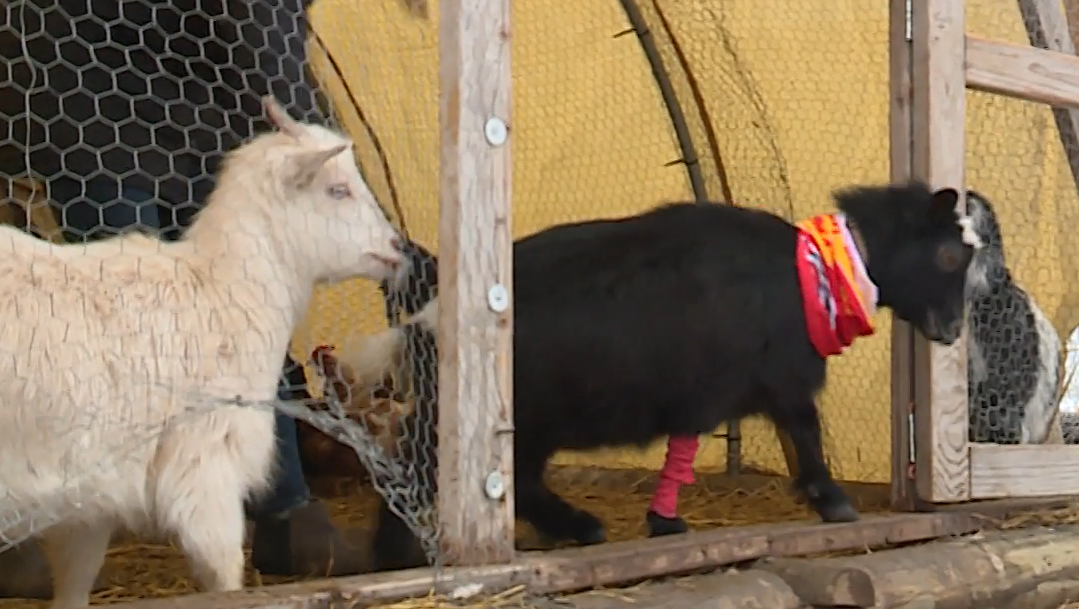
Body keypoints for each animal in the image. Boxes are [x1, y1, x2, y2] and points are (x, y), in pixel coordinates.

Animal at [0, 97, 405, 604]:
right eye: (338, 189)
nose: (397, 247)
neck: (221, 290)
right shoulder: (206, 466)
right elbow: (224, 571)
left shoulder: (92, 491)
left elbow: (77, 578)